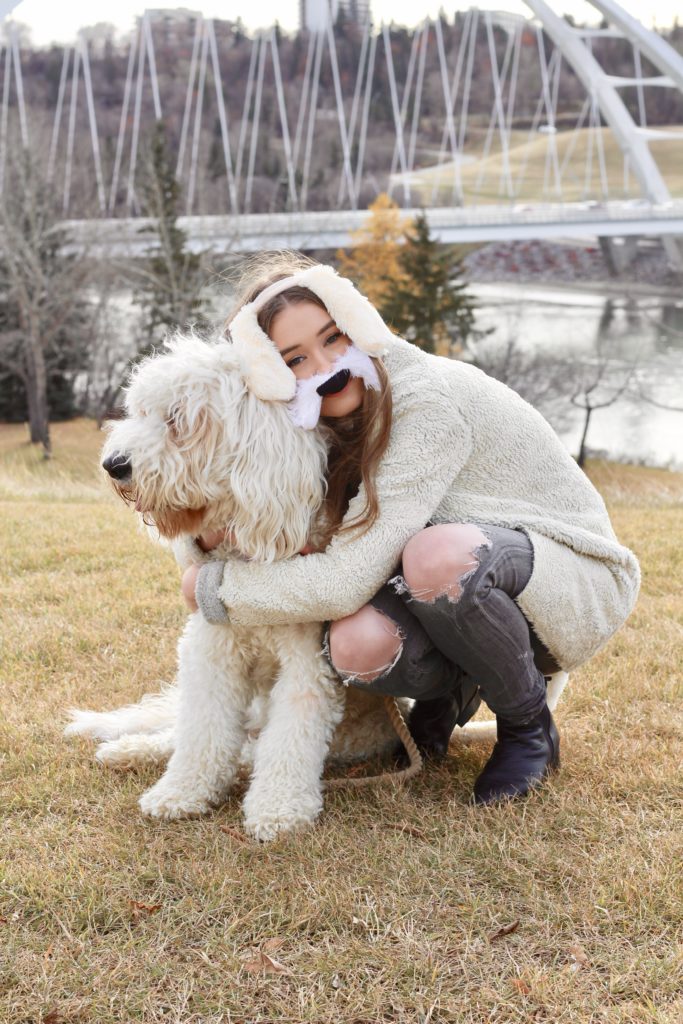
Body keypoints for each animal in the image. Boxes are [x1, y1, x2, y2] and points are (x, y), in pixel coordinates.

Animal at [66, 333, 397, 839]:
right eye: (139, 412)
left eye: (177, 418)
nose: (113, 464)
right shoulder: (211, 651)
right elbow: (201, 730)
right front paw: (180, 792)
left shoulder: (307, 666)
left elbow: (289, 741)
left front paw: (279, 808)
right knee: (181, 732)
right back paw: (126, 749)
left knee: (249, 751)